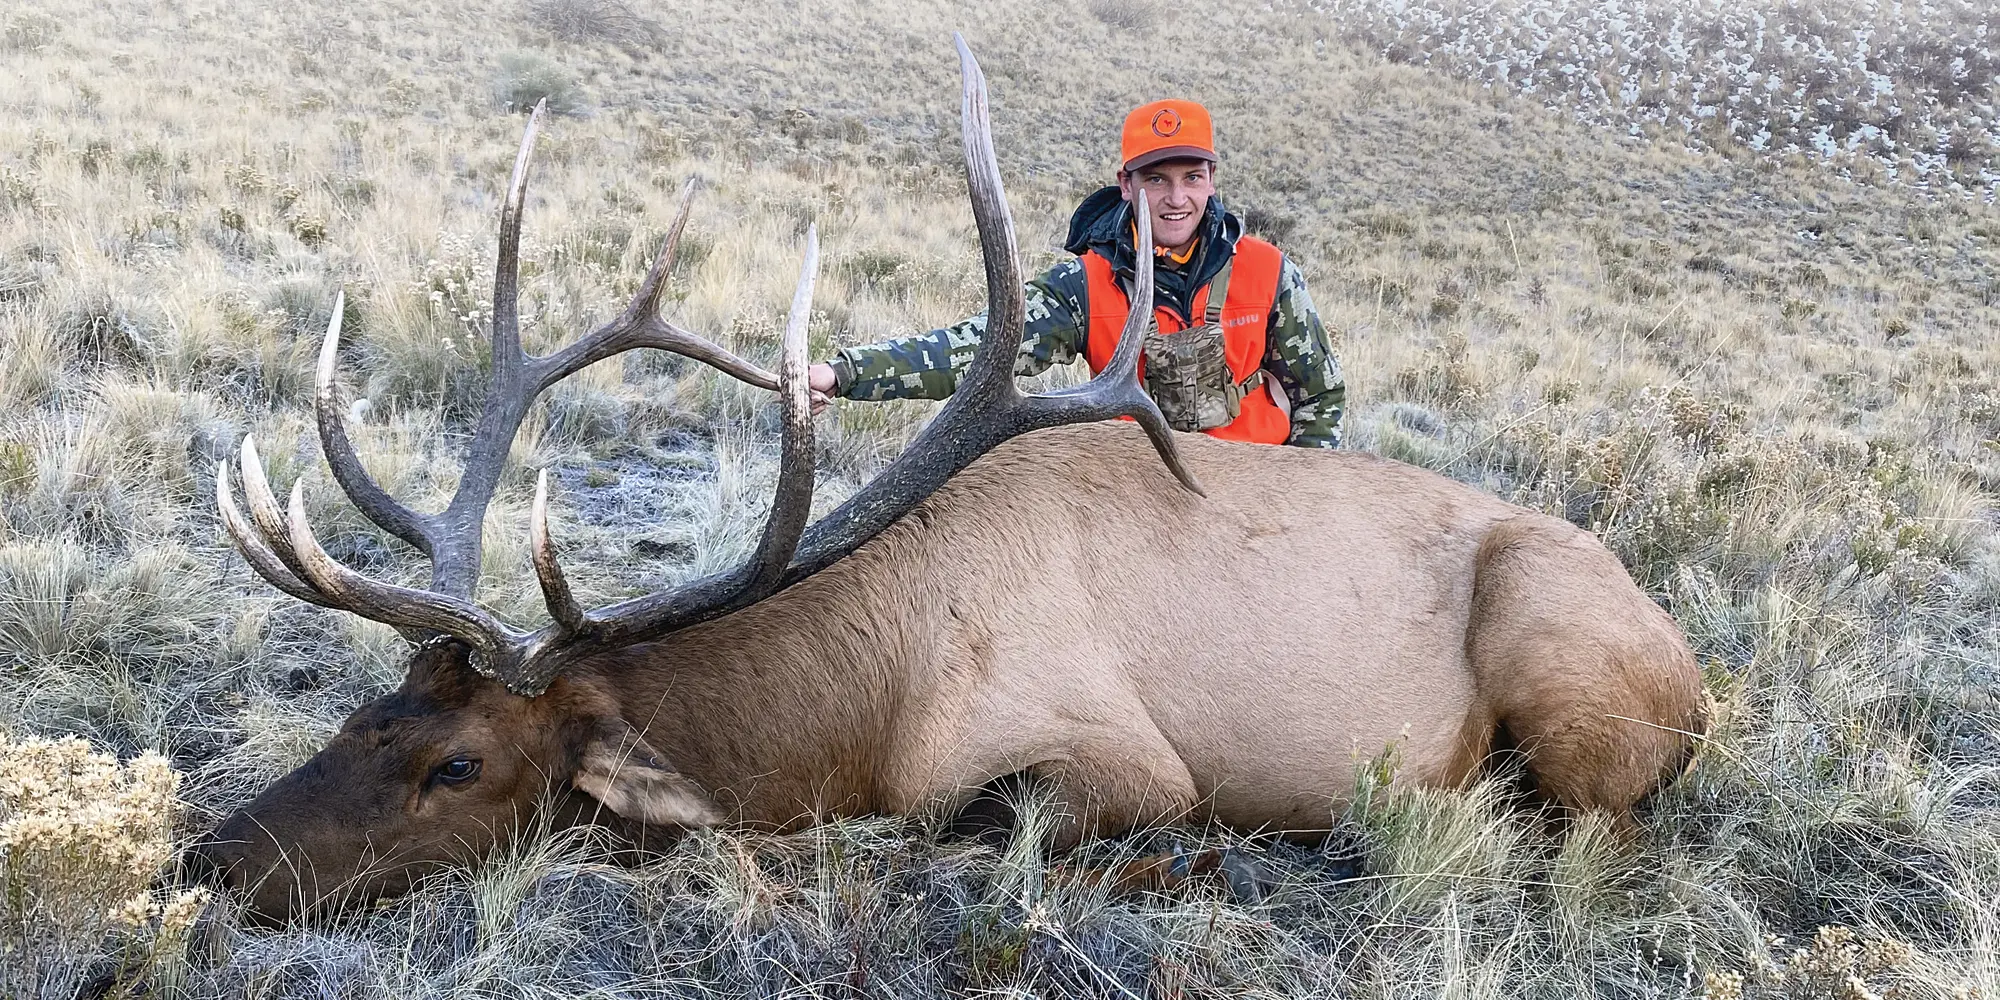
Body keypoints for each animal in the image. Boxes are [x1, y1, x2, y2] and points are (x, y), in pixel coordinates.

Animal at [191, 41, 1704, 920]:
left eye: (458, 763)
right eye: (365, 712)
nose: (214, 859)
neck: (865, 703)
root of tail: (1696, 677)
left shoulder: (1125, 757)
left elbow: (978, 822)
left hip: (1556, 648)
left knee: (1603, 835)